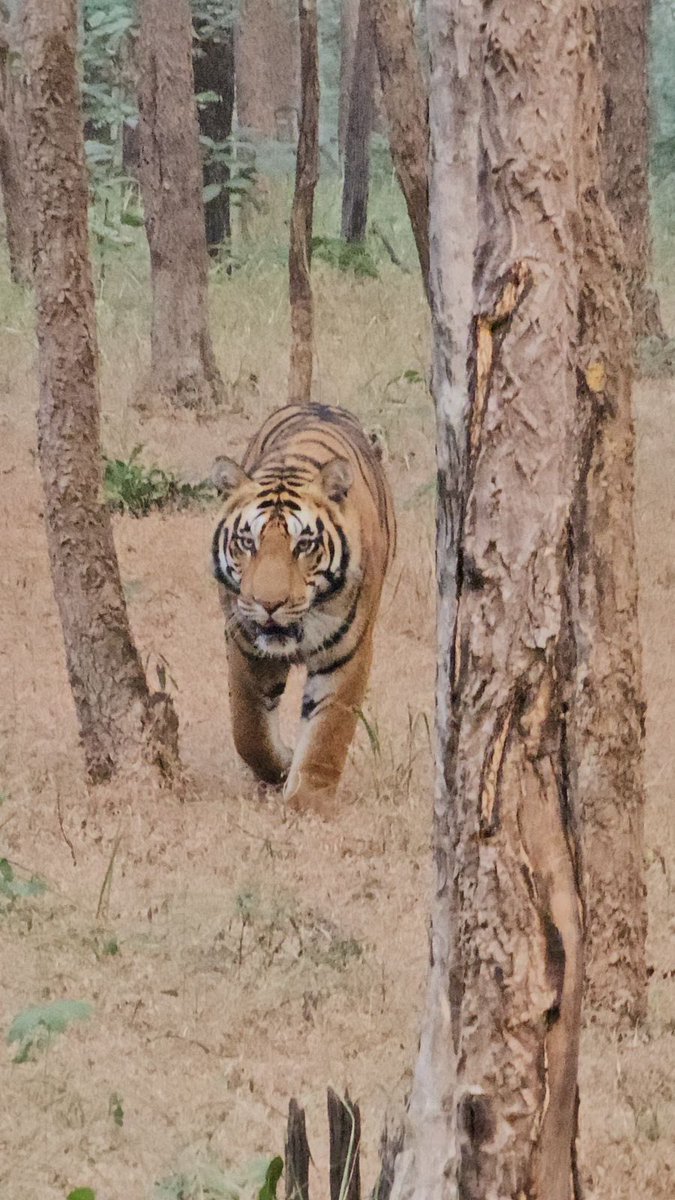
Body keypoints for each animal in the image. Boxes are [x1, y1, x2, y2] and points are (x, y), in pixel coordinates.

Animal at [210, 402, 396, 818]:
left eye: (304, 545)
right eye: (247, 542)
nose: (269, 604)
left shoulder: (348, 653)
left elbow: (329, 731)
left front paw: (308, 801)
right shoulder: (245, 645)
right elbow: (249, 731)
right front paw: (281, 765)